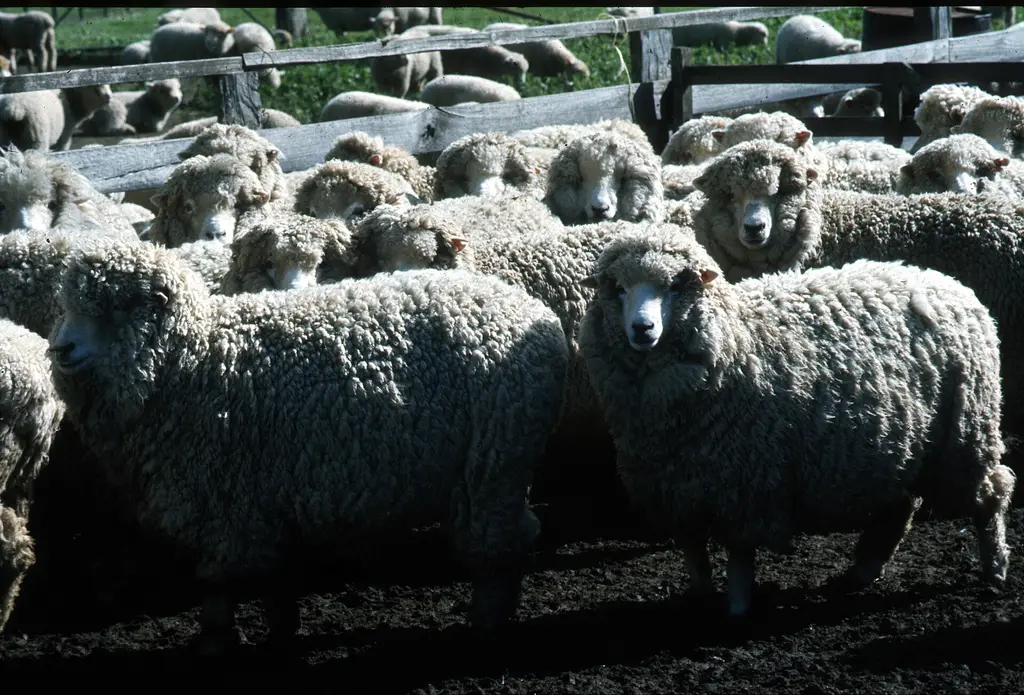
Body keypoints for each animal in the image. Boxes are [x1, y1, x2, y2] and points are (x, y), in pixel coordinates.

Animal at [47, 236, 568, 654]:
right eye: (68, 307)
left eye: (117, 308)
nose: (60, 349)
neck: (194, 360)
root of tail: (539, 316)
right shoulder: (265, 496)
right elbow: (277, 577)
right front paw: (281, 630)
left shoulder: (224, 500)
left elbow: (217, 584)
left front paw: (216, 640)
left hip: (494, 464)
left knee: (503, 542)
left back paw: (486, 621)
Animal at [577, 225, 1015, 618]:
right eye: (618, 289)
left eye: (673, 285)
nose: (642, 328)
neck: (735, 340)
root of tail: (950, 284)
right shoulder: (676, 489)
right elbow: (694, 552)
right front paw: (700, 597)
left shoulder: (744, 484)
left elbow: (739, 555)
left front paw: (738, 609)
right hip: (902, 442)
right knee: (901, 506)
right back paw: (862, 572)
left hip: (965, 435)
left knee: (989, 497)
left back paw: (995, 569)